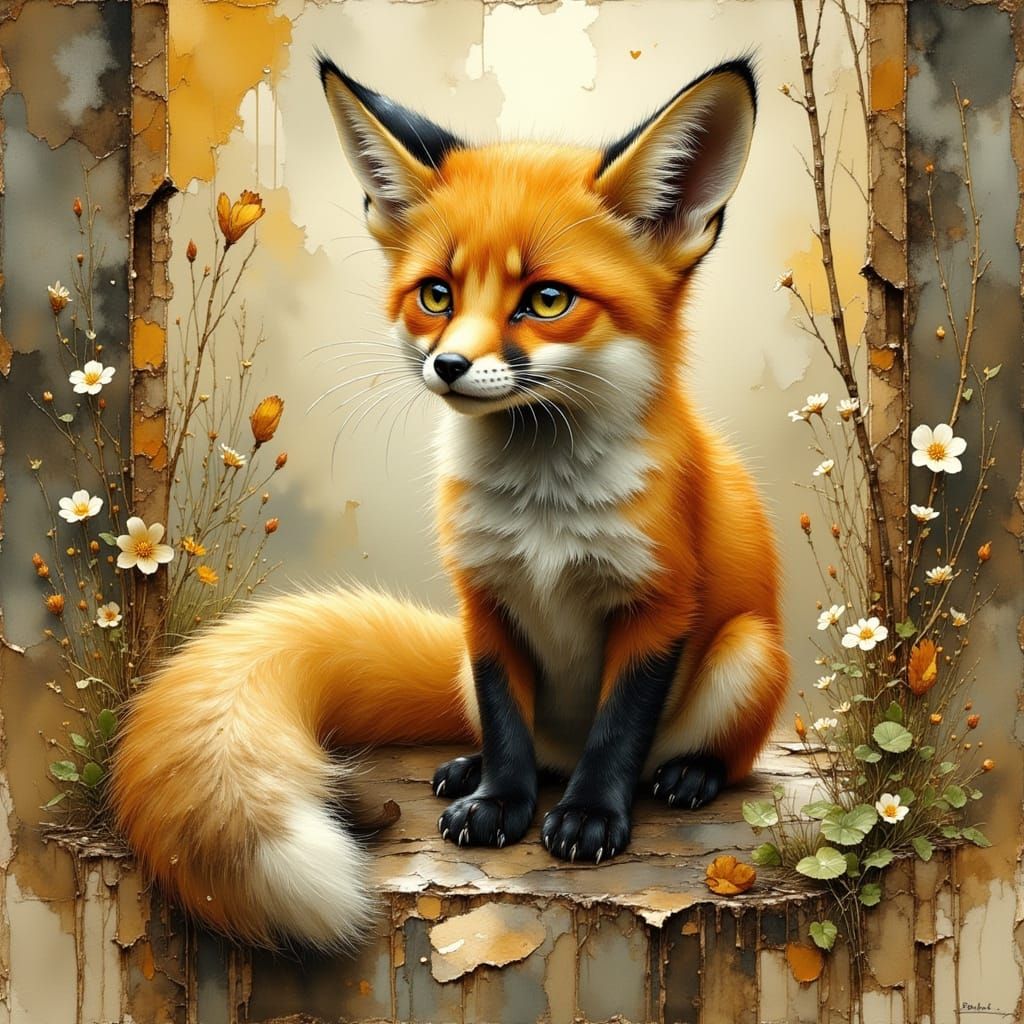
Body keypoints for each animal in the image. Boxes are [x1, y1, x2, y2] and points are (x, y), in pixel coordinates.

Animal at [111, 55, 789, 950]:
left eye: (546, 300)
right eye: (436, 295)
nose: (451, 366)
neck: (544, 509)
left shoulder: (659, 603)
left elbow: (618, 731)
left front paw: (589, 818)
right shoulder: (485, 602)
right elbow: (505, 724)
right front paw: (499, 801)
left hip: (746, 651)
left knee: (700, 754)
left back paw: (686, 775)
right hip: (473, 665)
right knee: (524, 740)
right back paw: (474, 772)